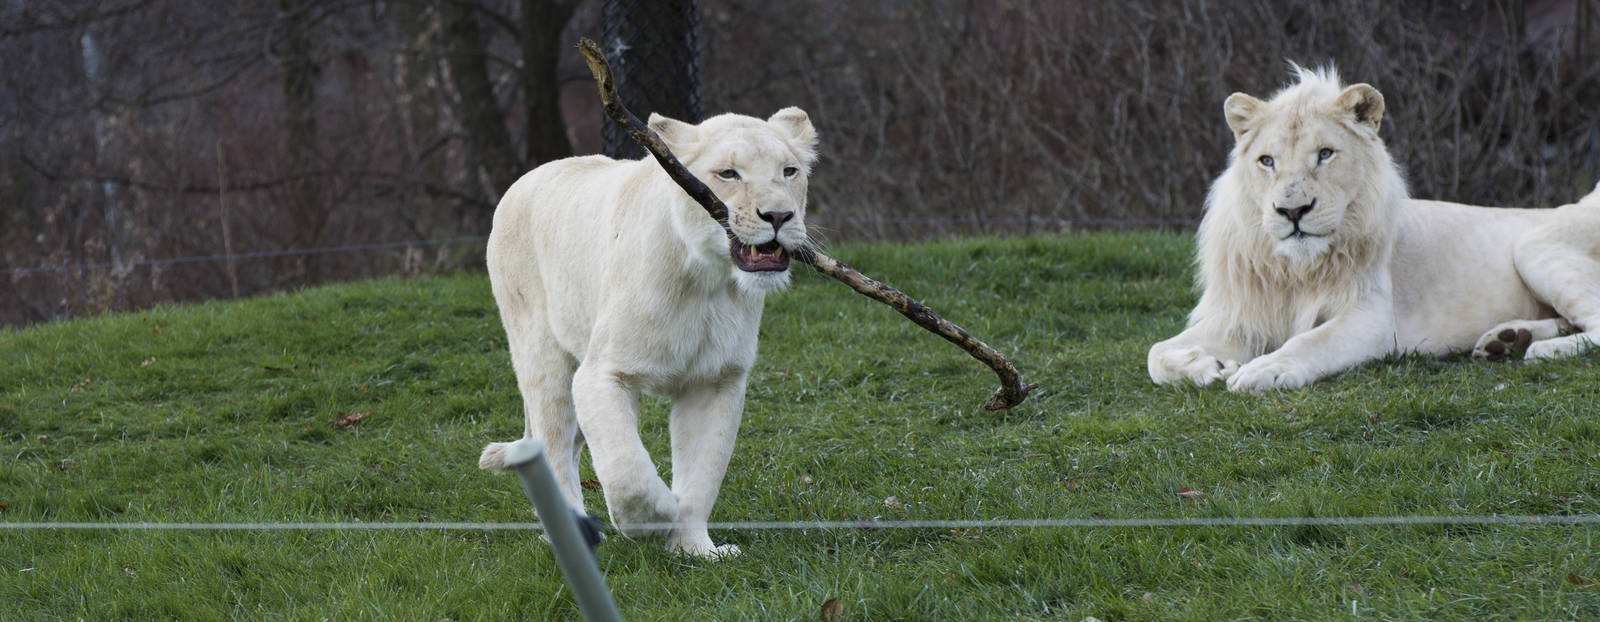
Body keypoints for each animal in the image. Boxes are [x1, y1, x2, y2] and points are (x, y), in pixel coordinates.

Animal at [477, 108, 817, 557]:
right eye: (728, 173)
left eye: (789, 171)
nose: (779, 216)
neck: (706, 283)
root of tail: (525, 180)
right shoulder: (602, 374)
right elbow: (627, 469)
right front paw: (652, 521)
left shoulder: (716, 380)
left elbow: (703, 472)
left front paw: (695, 548)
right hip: (542, 354)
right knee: (553, 447)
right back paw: (574, 534)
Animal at [1149, 64, 1600, 393]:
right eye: (1267, 161)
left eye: (1325, 154)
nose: (1292, 211)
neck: (1295, 270)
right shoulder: (1244, 315)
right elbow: (1156, 353)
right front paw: (1208, 366)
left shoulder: (1373, 320)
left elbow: (1310, 341)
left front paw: (1265, 370)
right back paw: (1507, 340)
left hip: (1533, 246)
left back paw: (1542, 349)